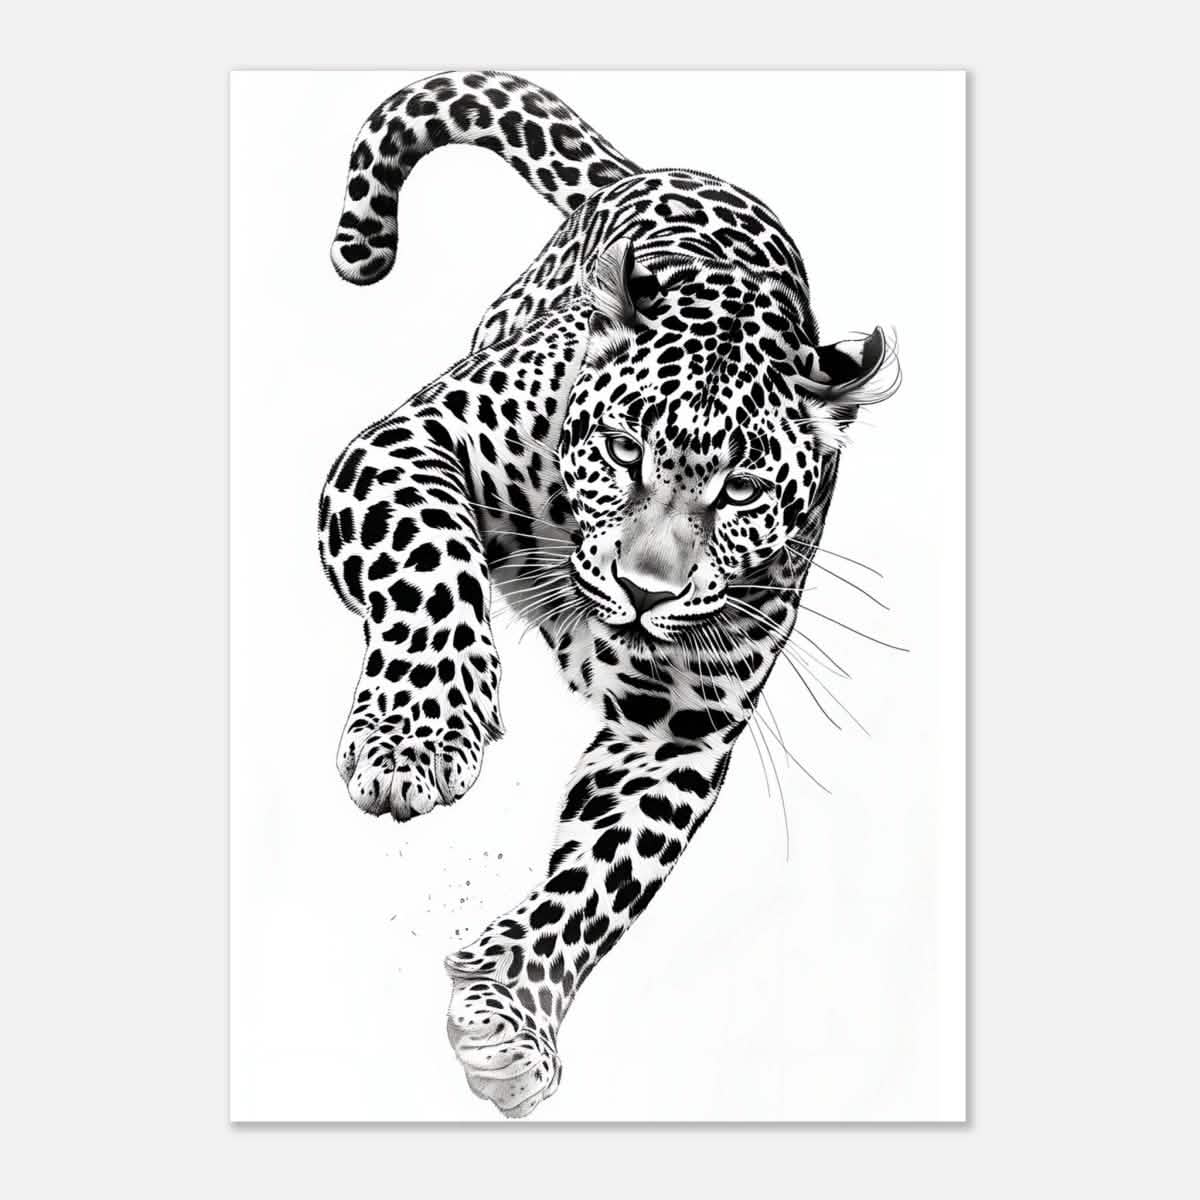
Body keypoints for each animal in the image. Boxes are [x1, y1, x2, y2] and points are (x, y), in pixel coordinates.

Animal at [319, 69, 899, 1118]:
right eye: (624, 449)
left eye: (742, 490)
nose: (640, 589)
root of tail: (658, 168)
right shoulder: (404, 445)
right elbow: (433, 566)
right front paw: (417, 737)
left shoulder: (677, 728)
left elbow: (602, 877)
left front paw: (512, 1013)